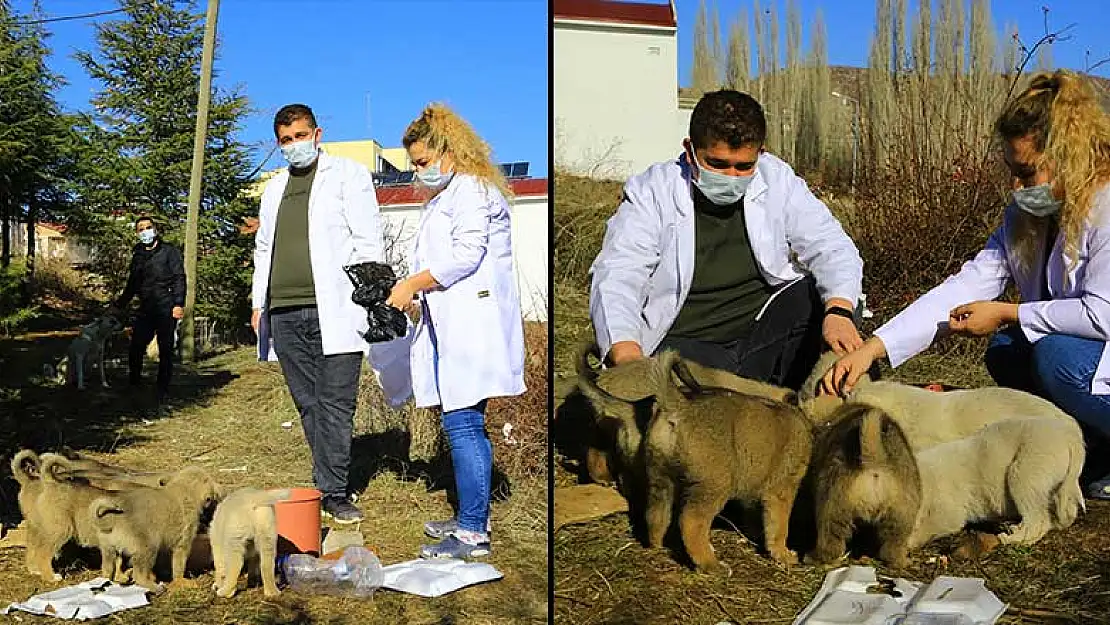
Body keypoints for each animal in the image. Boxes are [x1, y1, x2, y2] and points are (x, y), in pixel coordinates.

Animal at [91, 464, 223, 590]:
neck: (184, 490)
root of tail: (111, 520)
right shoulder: (183, 541)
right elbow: (179, 564)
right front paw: (181, 580)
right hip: (148, 546)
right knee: (139, 573)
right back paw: (155, 587)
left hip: (109, 549)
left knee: (107, 569)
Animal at [639, 350, 812, 572]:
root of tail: (679, 405)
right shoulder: (782, 489)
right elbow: (779, 526)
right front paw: (783, 554)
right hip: (714, 484)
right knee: (691, 522)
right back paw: (711, 564)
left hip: (659, 478)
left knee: (655, 516)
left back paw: (658, 546)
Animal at [803, 404, 923, 568]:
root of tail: (875, 462)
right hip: (901, 514)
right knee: (893, 545)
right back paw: (901, 561)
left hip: (832, 506)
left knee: (830, 540)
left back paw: (813, 558)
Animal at [910, 417, 1083, 550]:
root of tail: (1069, 438)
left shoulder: (948, 507)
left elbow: (935, 523)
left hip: (1025, 470)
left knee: (1038, 519)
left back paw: (1013, 538)